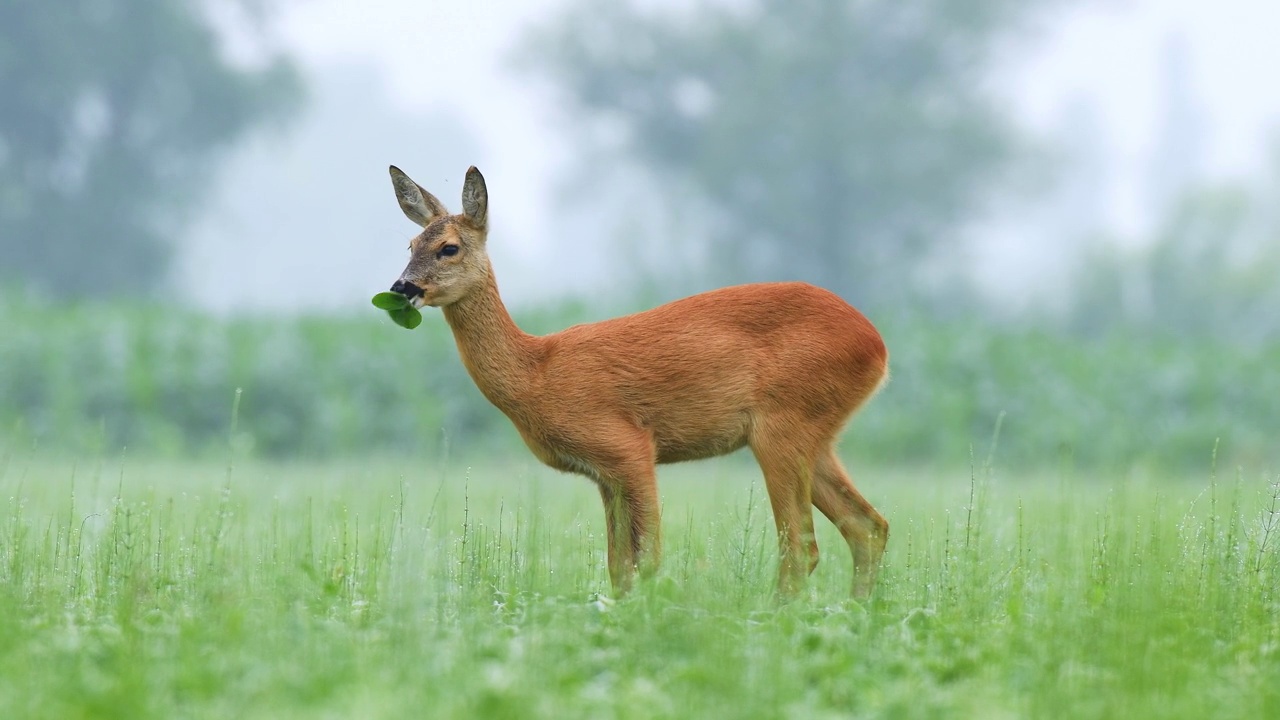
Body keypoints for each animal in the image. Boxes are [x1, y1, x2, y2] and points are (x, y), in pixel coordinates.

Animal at [381, 165, 890, 597]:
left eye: (449, 247)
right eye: (410, 244)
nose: (401, 287)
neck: (536, 373)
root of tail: (878, 346)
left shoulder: (628, 448)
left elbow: (648, 560)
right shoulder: (604, 475)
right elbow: (618, 567)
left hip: (782, 424)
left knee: (803, 546)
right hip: (814, 434)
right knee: (868, 526)